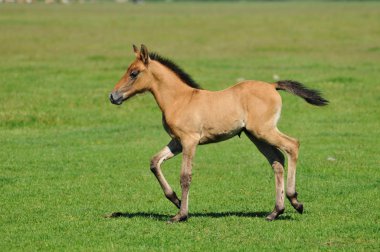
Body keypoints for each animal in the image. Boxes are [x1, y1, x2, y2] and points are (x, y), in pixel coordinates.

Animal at [108, 44, 328, 222]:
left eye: (134, 73)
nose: (113, 96)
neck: (180, 99)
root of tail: (272, 86)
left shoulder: (189, 141)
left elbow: (185, 176)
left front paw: (181, 214)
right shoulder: (176, 142)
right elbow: (154, 163)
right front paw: (176, 200)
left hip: (264, 131)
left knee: (292, 145)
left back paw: (295, 201)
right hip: (256, 136)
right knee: (277, 161)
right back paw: (275, 211)